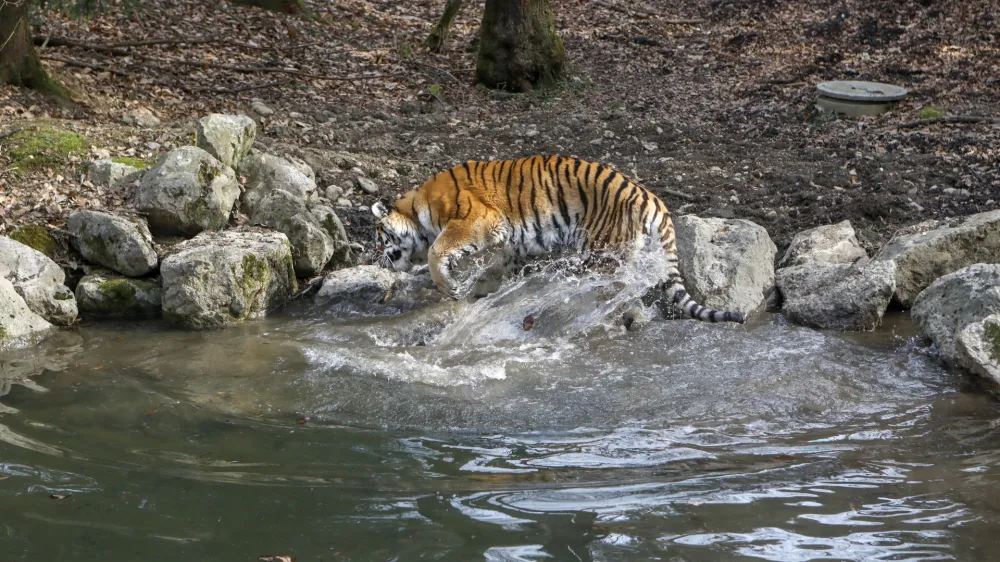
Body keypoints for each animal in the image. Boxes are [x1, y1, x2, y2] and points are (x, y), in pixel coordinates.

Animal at [372, 155, 746, 324]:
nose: (376, 256)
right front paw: (477, 295)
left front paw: (449, 288)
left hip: (602, 251)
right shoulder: (504, 241)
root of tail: (652, 199)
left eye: (378, 236)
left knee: (614, 288)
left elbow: (437, 252)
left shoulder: (474, 220)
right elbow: (492, 270)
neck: (417, 208)